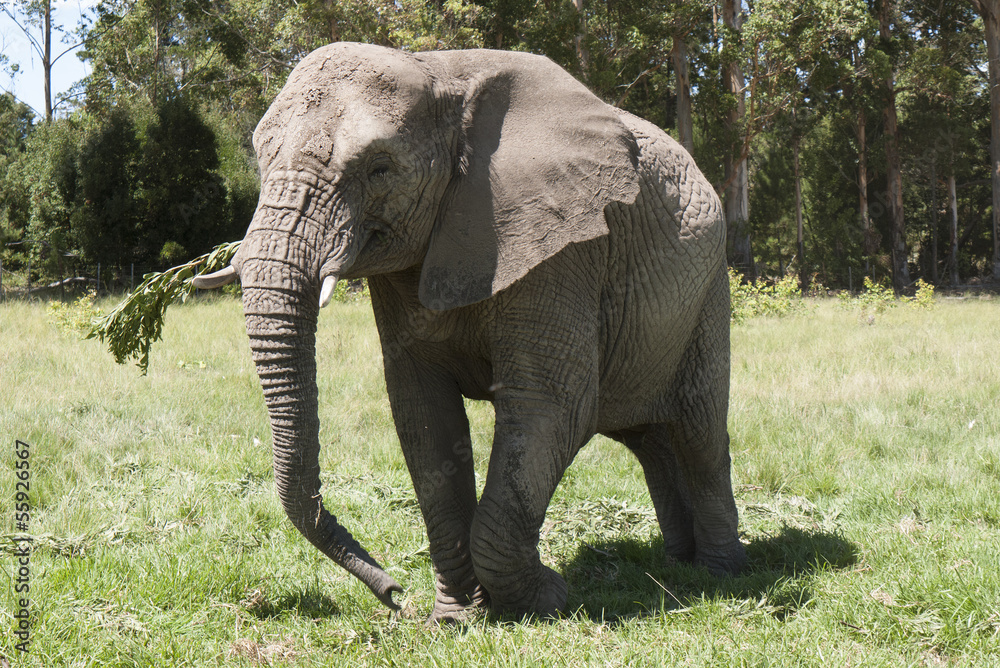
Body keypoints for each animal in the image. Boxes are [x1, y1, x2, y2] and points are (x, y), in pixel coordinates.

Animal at [193, 42, 746, 622]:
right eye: (260, 158)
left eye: (379, 168)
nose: (394, 595)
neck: (438, 75)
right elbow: (423, 414)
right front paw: (456, 619)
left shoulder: (567, 250)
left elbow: (550, 403)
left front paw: (547, 598)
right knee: (650, 440)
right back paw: (677, 561)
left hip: (709, 289)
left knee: (700, 429)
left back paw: (718, 572)